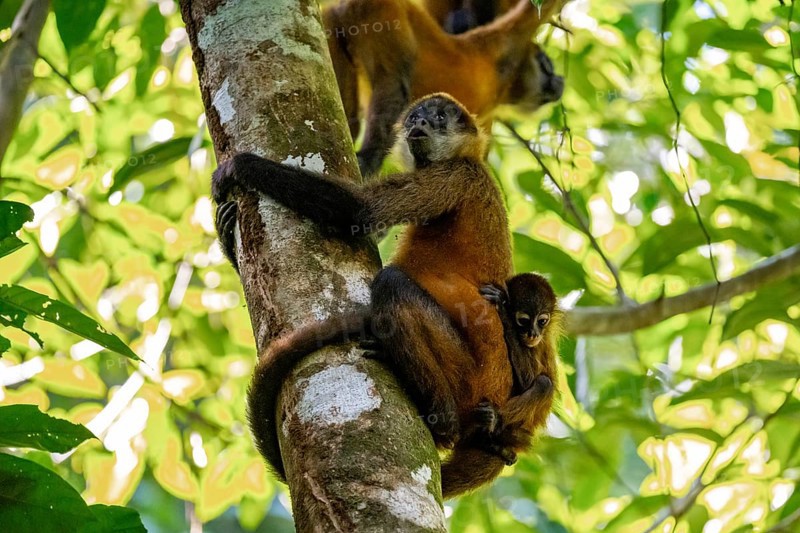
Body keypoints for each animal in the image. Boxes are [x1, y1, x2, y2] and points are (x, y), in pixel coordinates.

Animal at [213, 94, 517, 495]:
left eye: (439, 118)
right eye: (416, 118)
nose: (421, 124)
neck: (472, 161)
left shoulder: (456, 175)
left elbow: (361, 211)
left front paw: (240, 166)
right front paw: (225, 230)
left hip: (468, 374)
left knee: (391, 283)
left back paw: (443, 419)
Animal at [322, 0, 565, 175]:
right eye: (547, 67)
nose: (560, 80)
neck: (504, 84)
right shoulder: (508, 45)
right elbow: (536, 11)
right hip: (385, 14)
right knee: (394, 85)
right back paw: (367, 158)